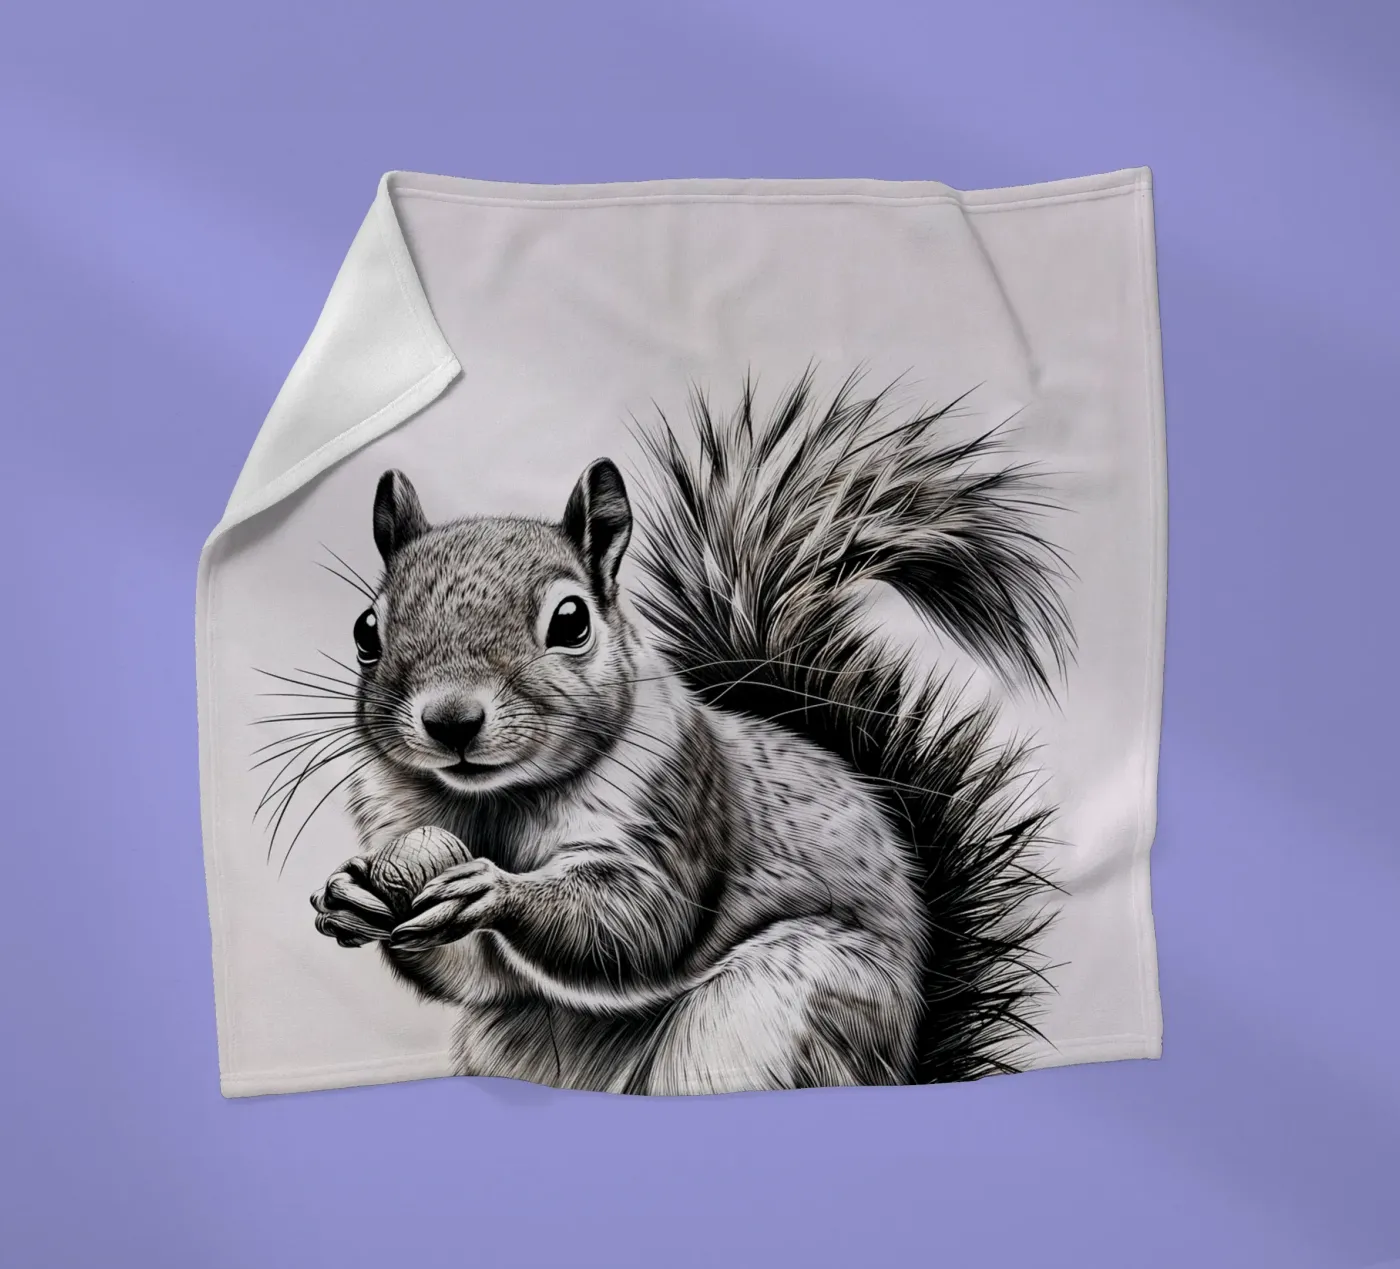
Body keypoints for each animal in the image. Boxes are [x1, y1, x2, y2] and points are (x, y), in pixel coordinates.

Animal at [305, 372, 1071, 1093]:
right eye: (366, 630)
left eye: (572, 620)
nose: (451, 719)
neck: (497, 800)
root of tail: (907, 1060)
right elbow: (470, 972)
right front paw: (352, 891)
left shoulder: (678, 798)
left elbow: (640, 921)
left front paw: (493, 891)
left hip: (779, 1006)